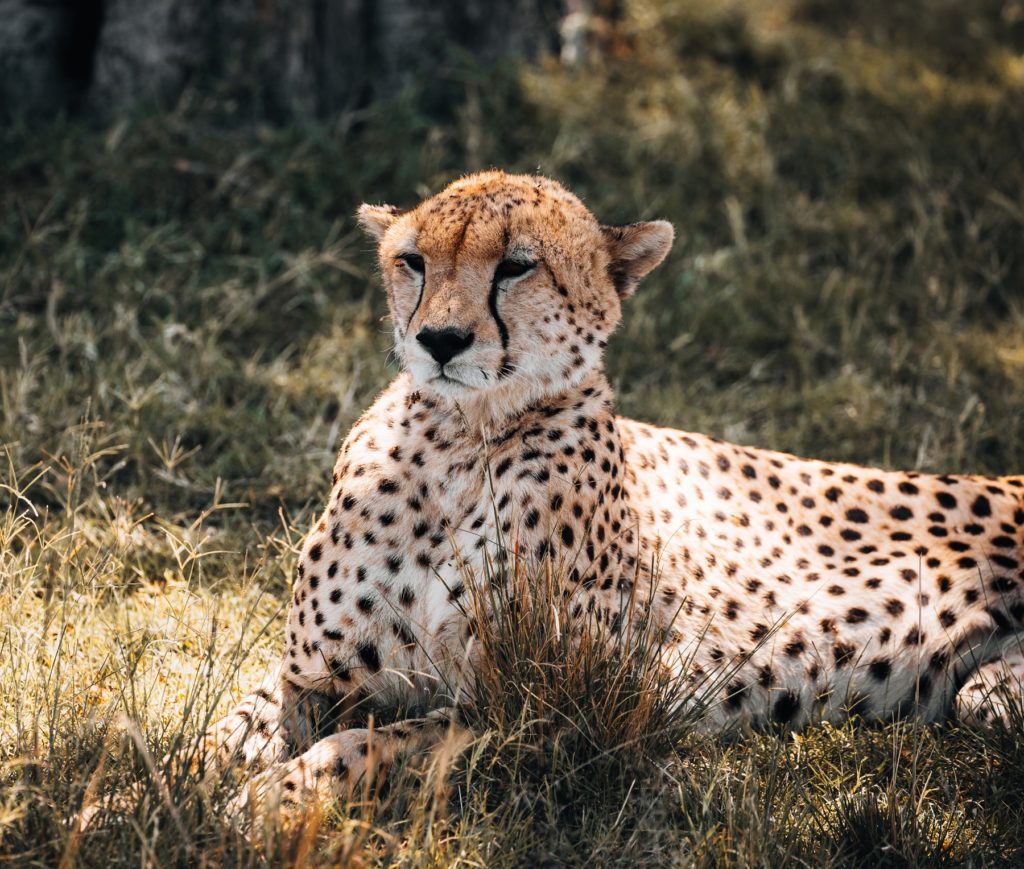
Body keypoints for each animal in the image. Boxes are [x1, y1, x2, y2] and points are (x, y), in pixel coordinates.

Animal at [82, 170, 1024, 824]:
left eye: (517, 267)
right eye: (412, 262)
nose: (440, 338)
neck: (457, 444)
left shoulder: (541, 709)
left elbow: (368, 744)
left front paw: (265, 804)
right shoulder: (311, 677)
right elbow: (220, 734)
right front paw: (132, 805)